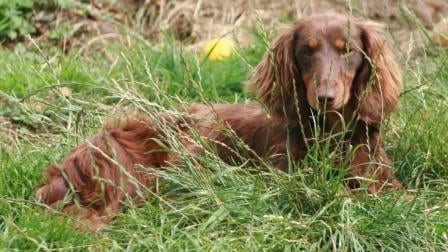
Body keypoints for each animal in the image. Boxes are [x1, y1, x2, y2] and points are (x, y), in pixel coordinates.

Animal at [36, 13, 402, 230]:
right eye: (307, 51)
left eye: (348, 50)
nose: (326, 97)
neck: (332, 133)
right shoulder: (283, 180)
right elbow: (340, 193)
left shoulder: (383, 179)